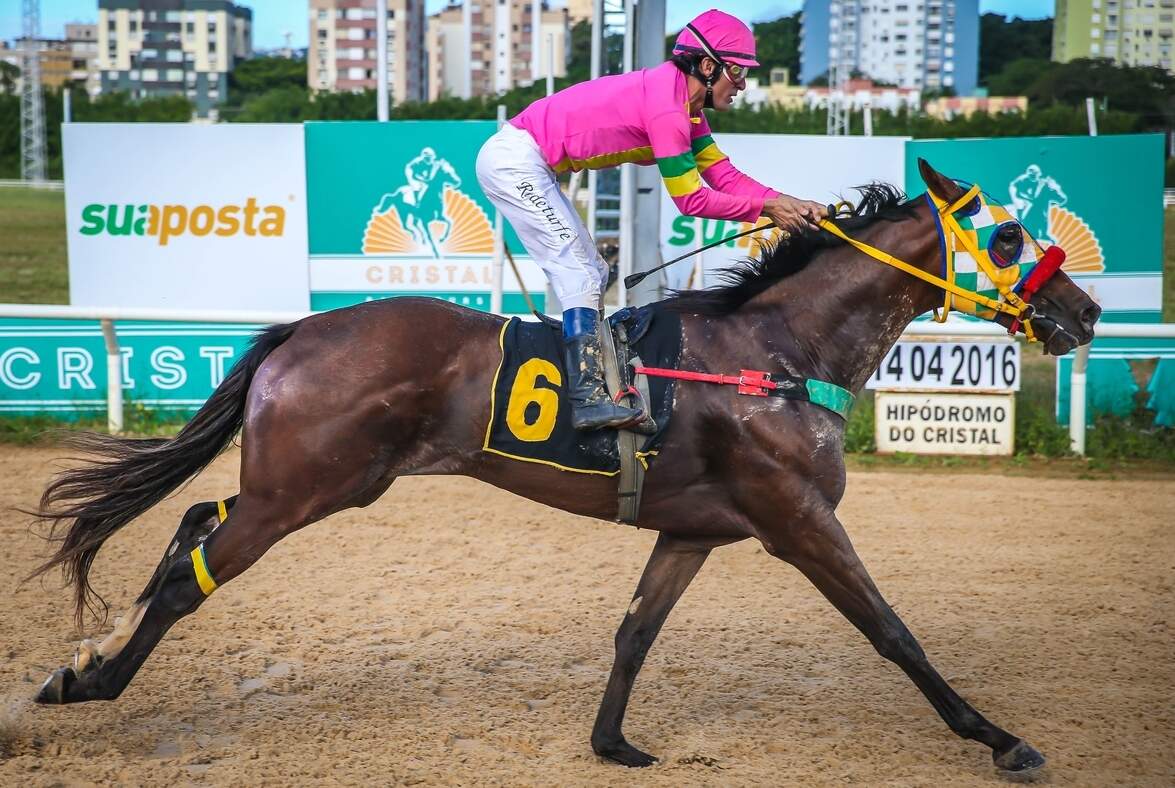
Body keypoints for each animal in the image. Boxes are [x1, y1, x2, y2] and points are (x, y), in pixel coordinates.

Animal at [22, 159, 1095, 775]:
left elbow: (633, 635)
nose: (1082, 313)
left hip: (316, 485)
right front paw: (999, 739)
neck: (778, 349)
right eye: (1006, 235)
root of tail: (300, 330)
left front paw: (612, 744)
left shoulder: (693, 530)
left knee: (192, 527)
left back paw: (93, 657)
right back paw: (86, 684)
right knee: (191, 573)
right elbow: (892, 631)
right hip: (302, 491)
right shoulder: (797, 522)